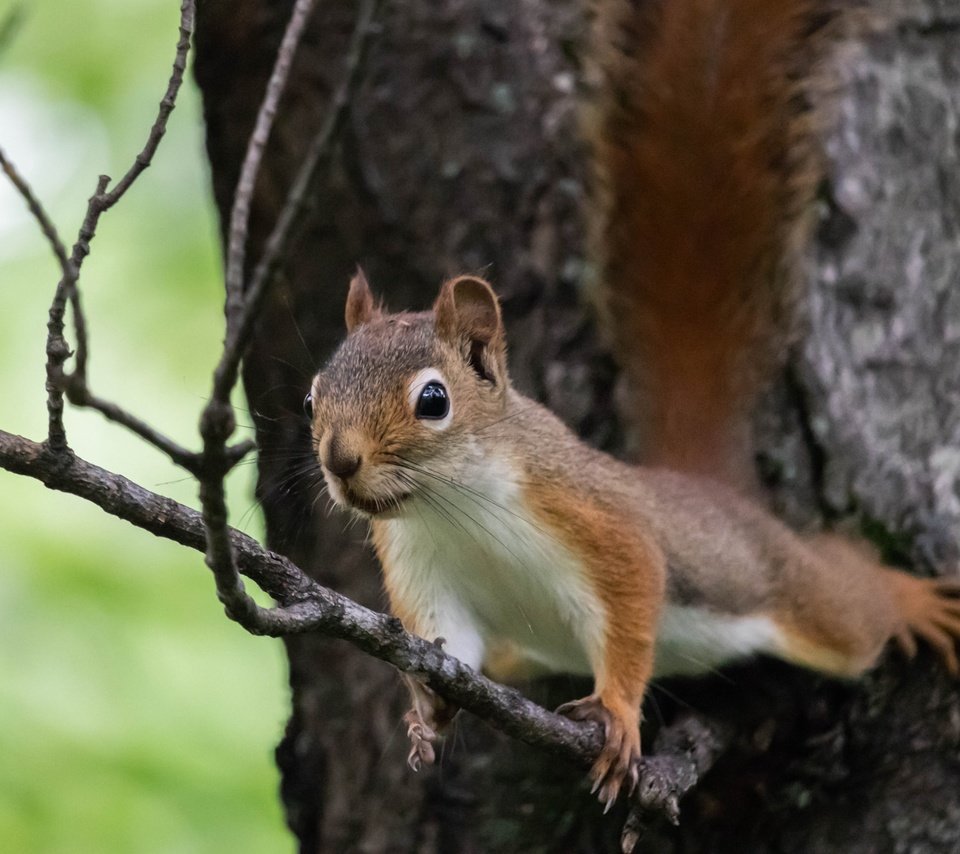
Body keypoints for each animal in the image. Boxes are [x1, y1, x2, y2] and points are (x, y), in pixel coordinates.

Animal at [306, 0, 960, 812]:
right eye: (313, 395)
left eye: (433, 400)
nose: (340, 461)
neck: (453, 508)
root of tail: (704, 488)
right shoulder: (423, 573)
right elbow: (448, 645)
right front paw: (425, 711)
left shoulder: (594, 519)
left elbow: (631, 598)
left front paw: (618, 714)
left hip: (790, 591)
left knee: (851, 602)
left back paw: (909, 598)